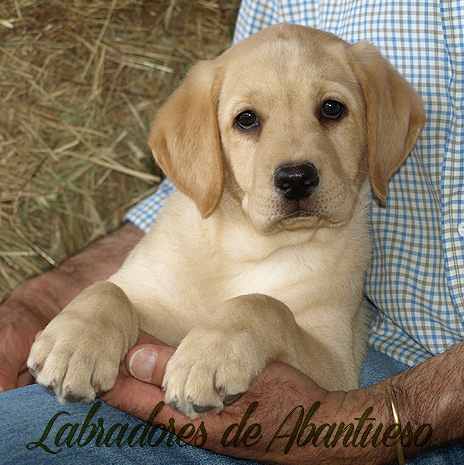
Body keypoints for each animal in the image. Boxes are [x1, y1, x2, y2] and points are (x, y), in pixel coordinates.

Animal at [28, 24, 424, 416]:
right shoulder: (154, 297)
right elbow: (107, 288)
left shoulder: (336, 366)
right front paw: (75, 344)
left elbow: (262, 304)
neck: (245, 246)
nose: (296, 178)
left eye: (331, 108)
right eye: (246, 119)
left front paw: (208, 356)